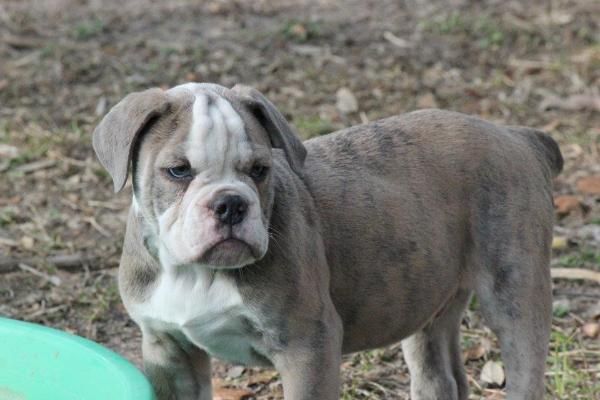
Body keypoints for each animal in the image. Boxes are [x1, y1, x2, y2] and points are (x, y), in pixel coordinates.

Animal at [94, 82, 564, 400]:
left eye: (260, 170)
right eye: (178, 171)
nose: (230, 204)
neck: (197, 273)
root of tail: (516, 135)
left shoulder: (307, 346)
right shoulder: (168, 351)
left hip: (514, 290)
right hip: (428, 302)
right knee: (439, 374)